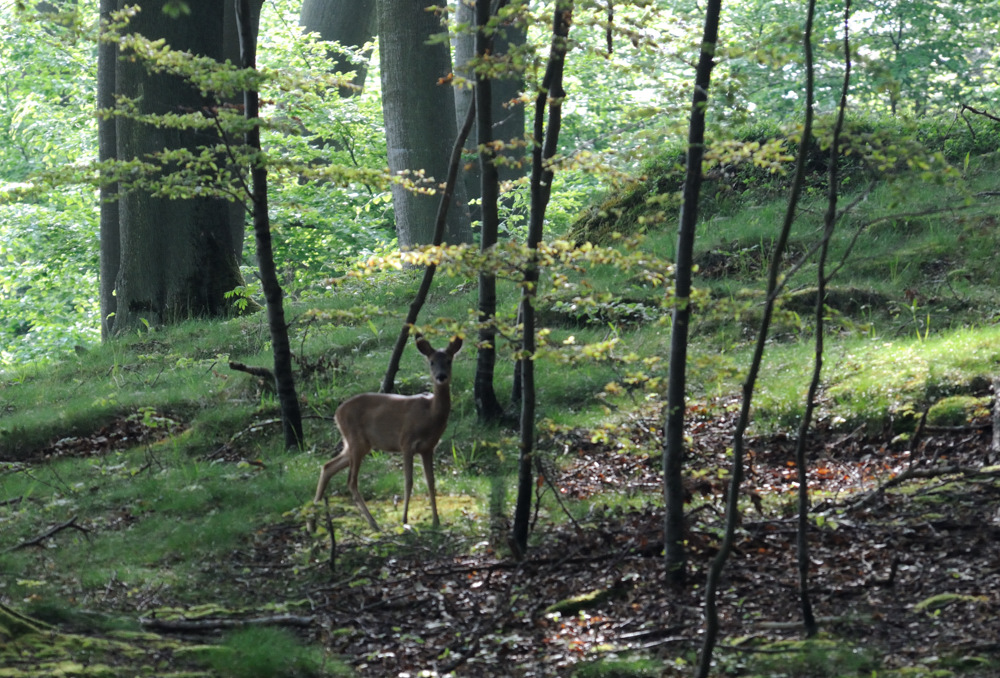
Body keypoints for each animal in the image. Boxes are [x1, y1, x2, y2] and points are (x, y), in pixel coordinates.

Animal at [311, 334, 463, 531]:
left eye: (449, 360)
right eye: (431, 362)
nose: (441, 376)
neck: (430, 413)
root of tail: (337, 413)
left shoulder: (428, 448)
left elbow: (431, 482)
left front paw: (436, 521)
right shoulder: (406, 442)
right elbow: (408, 481)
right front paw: (405, 519)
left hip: (356, 444)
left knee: (328, 466)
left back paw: (312, 524)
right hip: (356, 441)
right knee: (351, 481)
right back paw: (373, 523)